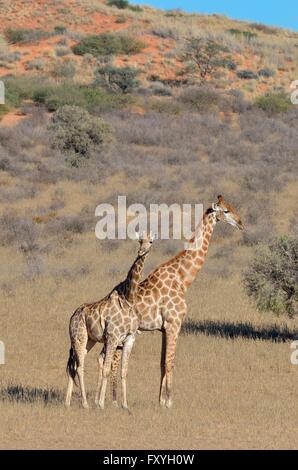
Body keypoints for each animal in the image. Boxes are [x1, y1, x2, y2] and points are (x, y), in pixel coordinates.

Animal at [65, 233, 154, 410]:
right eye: (139, 241)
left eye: (151, 242)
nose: (141, 251)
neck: (128, 299)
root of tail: (73, 316)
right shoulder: (112, 337)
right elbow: (106, 369)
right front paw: (101, 404)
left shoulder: (130, 338)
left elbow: (124, 371)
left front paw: (125, 405)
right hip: (79, 337)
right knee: (79, 367)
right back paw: (85, 404)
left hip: (89, 340)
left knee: (73, 364)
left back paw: (67, 402)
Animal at [108, 195, 243, 408]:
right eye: (226, 211)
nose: (241, 223)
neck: (183, 279)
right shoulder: (174, 323)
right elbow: (170, 362)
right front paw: (169, 401)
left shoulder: (164, 328)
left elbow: (162, 363)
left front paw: (160, 400)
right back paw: (113, 401)